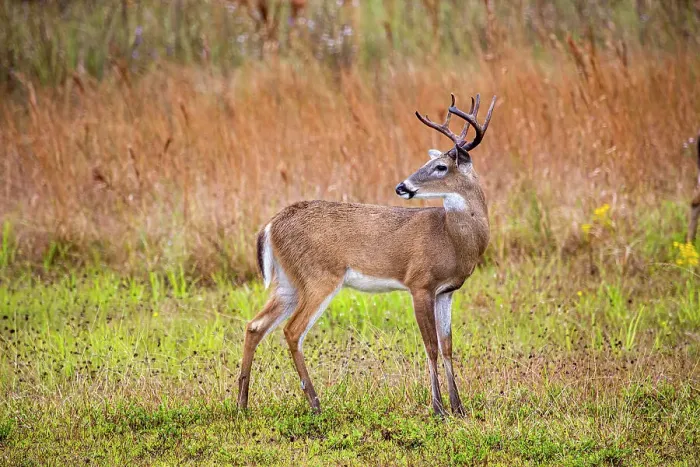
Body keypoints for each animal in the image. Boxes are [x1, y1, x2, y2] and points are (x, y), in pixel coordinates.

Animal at [237, 92, 497, 416]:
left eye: (440, 167)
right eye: (429, 162)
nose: (402, 186)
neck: (452, 237)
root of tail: (271, 225)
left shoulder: (447, 291)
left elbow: (448, 345)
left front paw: (458, 407)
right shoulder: (419, 283)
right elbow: (431, 346)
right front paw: (438, 408)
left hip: (288, 282)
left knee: (255, 326)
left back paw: (242, 403)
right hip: (319, 277)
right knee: (292, 331)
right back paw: (315, 403)